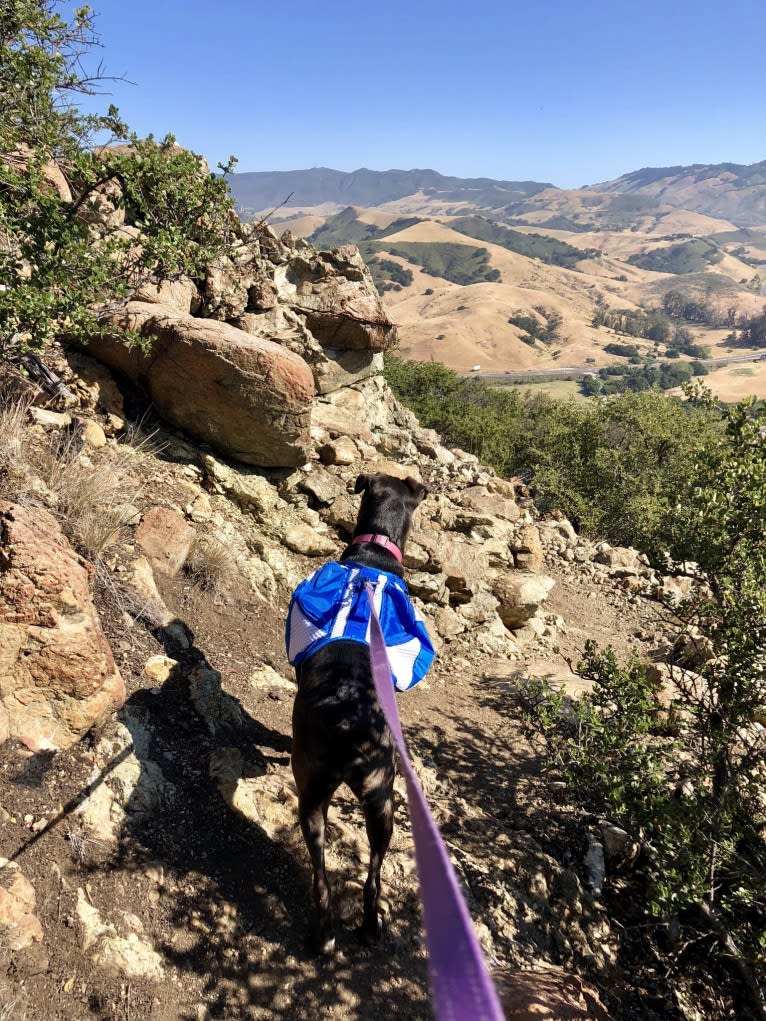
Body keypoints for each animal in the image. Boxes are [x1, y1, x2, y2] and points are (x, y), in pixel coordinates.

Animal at [288, 473, 433, 951]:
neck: (374, 553)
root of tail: (347, 724)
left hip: (323, 797)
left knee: (324, 877)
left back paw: (326, 935)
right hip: (379, 799)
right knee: (369, 877)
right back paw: (365, 928)